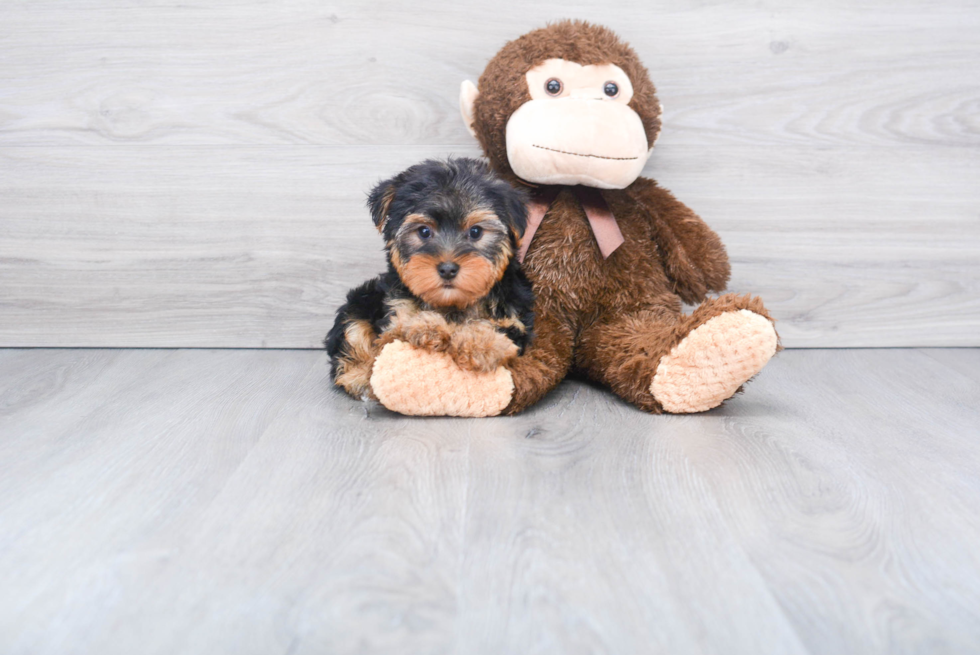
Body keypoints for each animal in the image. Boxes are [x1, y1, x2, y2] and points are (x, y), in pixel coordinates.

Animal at [326, 158, 532, 400]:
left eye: (475, 232)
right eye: (424, 232)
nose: (448, 269)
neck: (452, 303)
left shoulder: (514, 318)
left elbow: (493, 327)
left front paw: (479, 344)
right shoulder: (395, 310)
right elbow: (400, 326)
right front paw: (426, 326)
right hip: (359, 302)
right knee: (352, 334)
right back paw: (359, 376)